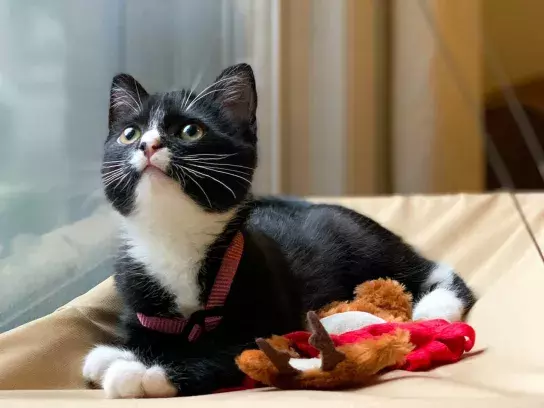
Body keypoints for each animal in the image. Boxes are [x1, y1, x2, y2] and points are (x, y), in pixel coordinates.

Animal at [82, 63, 476, 398]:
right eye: (128, 134)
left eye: (191, 131)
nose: (147, 144)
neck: (174, 238)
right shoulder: (137, 293)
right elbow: (141, 335)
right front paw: (117, 353)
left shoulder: (264, 300)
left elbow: (229, 351)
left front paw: (143, 373)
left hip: (362, 244)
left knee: (431, 270)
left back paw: (437, 306)